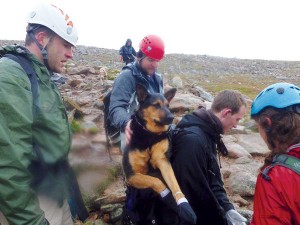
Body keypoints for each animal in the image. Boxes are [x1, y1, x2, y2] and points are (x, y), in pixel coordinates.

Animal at [122, 83, 197, 224]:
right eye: (156, 105)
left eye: (168, 105)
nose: (172, 118)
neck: (150, 135)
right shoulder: (131, 175)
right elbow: (156, 181)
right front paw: (168, 198)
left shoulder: (163, 161)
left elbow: (174, 183)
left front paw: (183, 205)